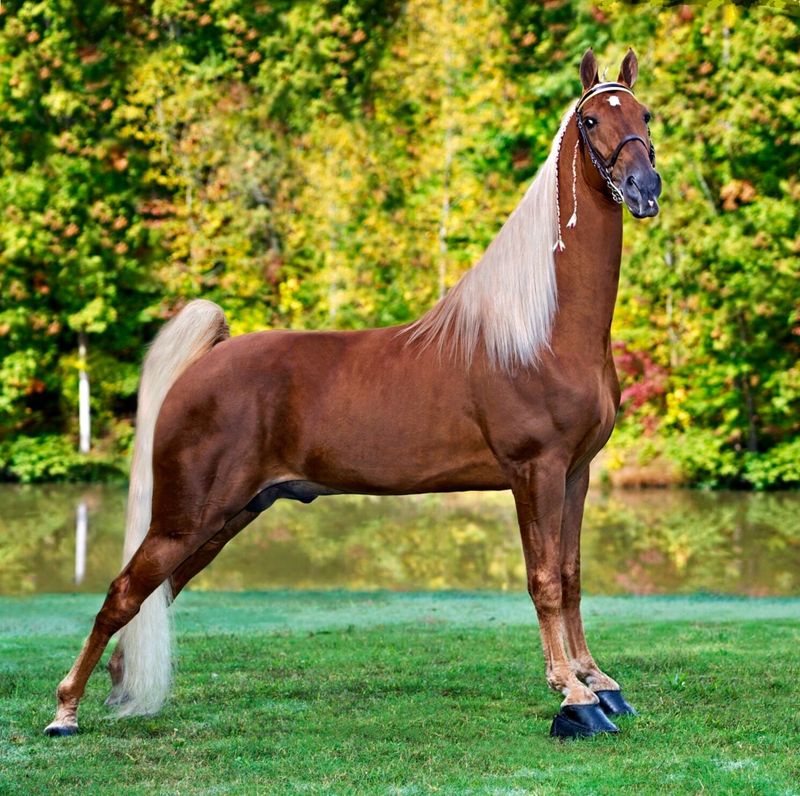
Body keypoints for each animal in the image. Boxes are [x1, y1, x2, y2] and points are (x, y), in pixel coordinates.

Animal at [48, 46, 664, 736]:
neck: (543, 328)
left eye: (645, 114)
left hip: (225, 518)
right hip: (187, 517)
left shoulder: (575, 472)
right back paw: (64, 711)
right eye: (590, 121)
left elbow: (572, 573)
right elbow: (544, 581)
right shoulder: (536, 472)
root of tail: (205, 363)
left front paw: (599, 683)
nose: (644, 188)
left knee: (153, 596)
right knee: (122, 593)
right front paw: (572, 697)